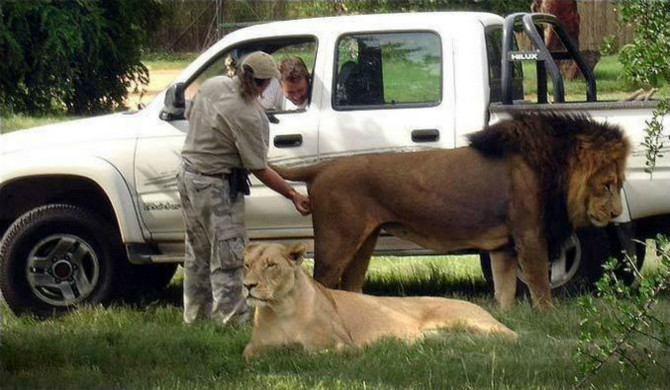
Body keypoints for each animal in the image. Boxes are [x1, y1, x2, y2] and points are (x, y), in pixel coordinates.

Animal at [243, 244, 520, 360]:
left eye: (270, 265)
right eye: (246, 265)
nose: (247, 286)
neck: (281, 308)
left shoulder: (346, 345)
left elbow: (312, 351)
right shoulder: (252, 348)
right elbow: (251, 354)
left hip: (466, 319)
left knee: (513, 336)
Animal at [272, 112, 632, 310]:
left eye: (619, 183)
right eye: (607, 184)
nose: (616, 214)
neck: (553, 169)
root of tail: (320, 168)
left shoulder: (503, 247)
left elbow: (504, 292)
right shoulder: (529, 235)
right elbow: (540, 286)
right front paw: (549, 316)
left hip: (364, 241)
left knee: (349, 287)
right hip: (337, 241)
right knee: (319, 284)